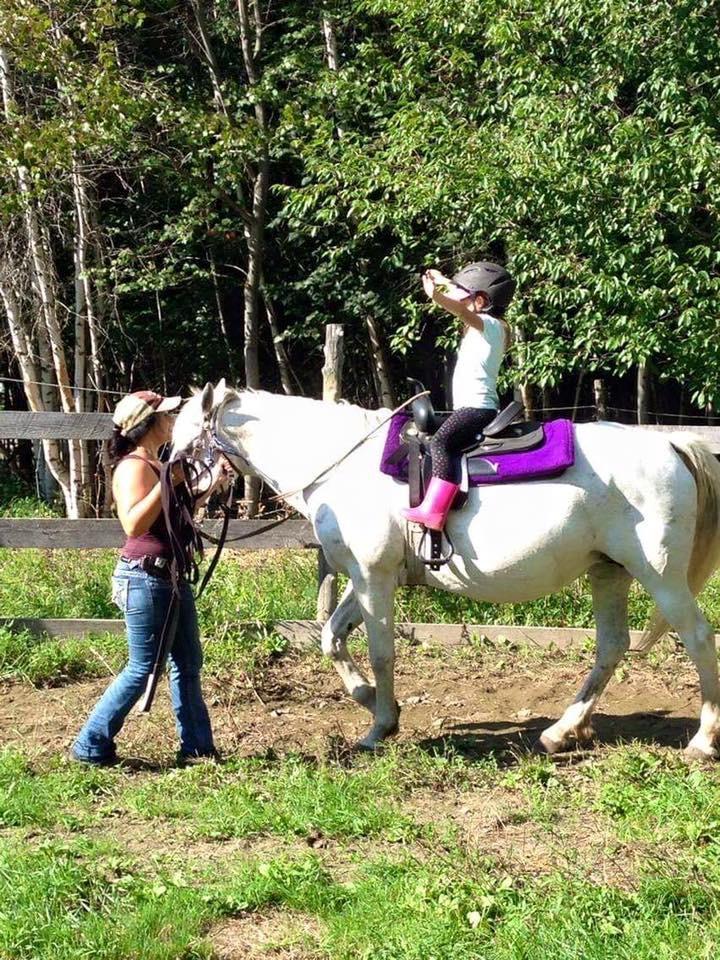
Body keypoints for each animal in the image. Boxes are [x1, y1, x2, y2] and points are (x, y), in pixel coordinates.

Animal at [170, 378, 720, 760]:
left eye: (180, 445)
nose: (172, 500)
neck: (341, 466)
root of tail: (672, 445)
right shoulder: (366, 577)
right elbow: (331, 637)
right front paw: (372, 702)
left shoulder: (374, 578)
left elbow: (381, 652)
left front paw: (378, 727)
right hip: (609, 572)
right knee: (612, 646)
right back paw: (562, 731)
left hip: (660, 576)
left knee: (697, 638)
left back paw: (702, 740)